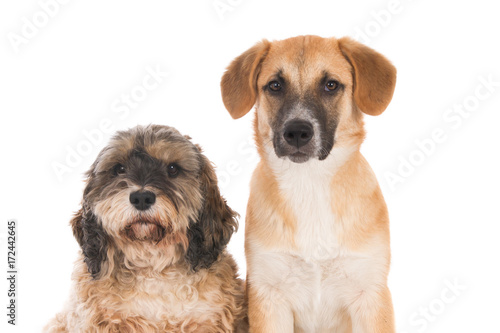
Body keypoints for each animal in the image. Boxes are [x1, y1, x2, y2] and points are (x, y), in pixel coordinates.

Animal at [221, 35, 396, 330]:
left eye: (331, 85)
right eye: (275, 85)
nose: (297, 132)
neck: (309, 183)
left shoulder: (369, 294)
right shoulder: (269, 296)